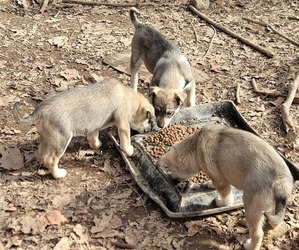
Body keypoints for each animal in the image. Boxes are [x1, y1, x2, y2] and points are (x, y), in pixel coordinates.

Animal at [13, 79, 156, 179]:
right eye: (149, 119)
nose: (152, 130)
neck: (129, 98)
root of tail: (40, 110)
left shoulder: (93, 127)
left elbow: (94, 137)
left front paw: (96, 145)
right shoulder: (123, 124)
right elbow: (125, 141)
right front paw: (130, 150)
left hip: (46, 139)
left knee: (42, 155)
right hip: (62, 140)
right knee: (51, 160)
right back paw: (58, 175)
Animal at [159, 124, 296, 250]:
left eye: (173, 171)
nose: (174, 181)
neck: (195, 146)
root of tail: (281, 180)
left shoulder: (221, 182)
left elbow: (226, 197)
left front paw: (221, 202)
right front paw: (210, 184)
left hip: (251, 206)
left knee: (257, 234)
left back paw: (249, 245)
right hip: (271, 205)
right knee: (275, 219)